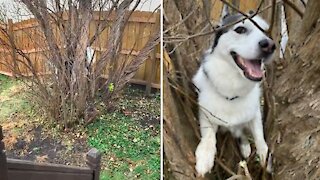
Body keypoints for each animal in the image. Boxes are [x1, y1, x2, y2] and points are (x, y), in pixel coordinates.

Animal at [191, 8, 276, 177]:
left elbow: (259, 135)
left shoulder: (254, 112)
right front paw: (205, 156)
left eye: (265, 31)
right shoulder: (205, 112)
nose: (269, 45)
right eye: (240, 29)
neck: (232, 90)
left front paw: (264, 155)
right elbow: (208, 135)